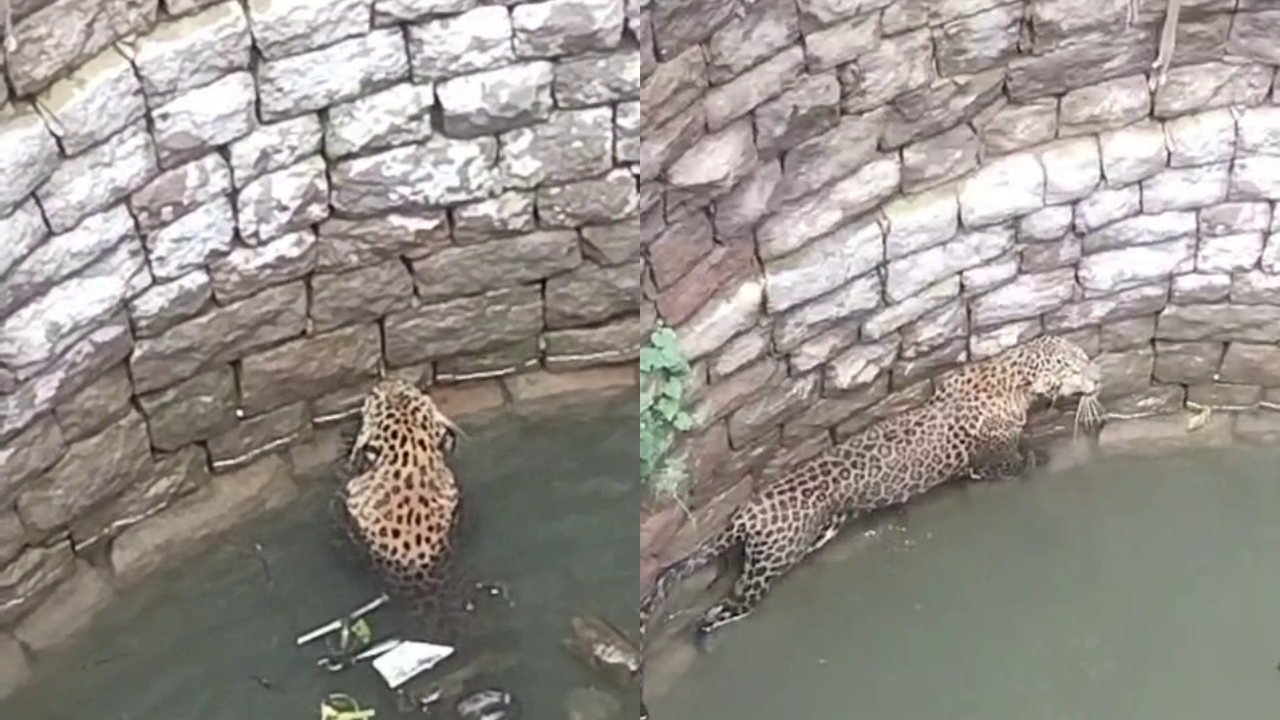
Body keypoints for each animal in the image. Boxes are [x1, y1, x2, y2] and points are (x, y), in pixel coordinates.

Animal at [639, 334, 1104, 648]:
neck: (1010, 378)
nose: (1098, 378)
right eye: (1075, 368)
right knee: (722, 609)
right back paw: (704, 636)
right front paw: (1040, 454)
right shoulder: (988, 463)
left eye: (1084, 357)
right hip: (768, 567)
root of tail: (747, 512)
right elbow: (1018, 459)